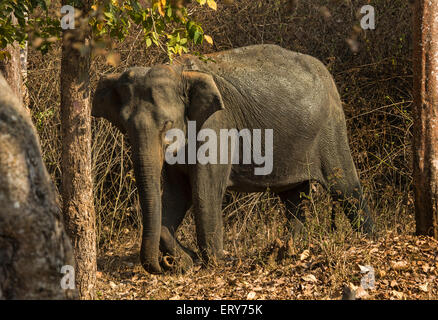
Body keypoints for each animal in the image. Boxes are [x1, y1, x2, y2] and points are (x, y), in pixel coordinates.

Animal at [91, 44, 372, 276]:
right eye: (124, 126)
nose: (164, 266)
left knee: (345, 187)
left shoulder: (217, 125)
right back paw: (292, 249)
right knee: (293, 197)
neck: (180, 72)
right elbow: (176, 194)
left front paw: (215, 262)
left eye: (168, 124)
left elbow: (204, 190)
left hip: (331, 128)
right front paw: (188, 260)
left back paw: (368, 240)